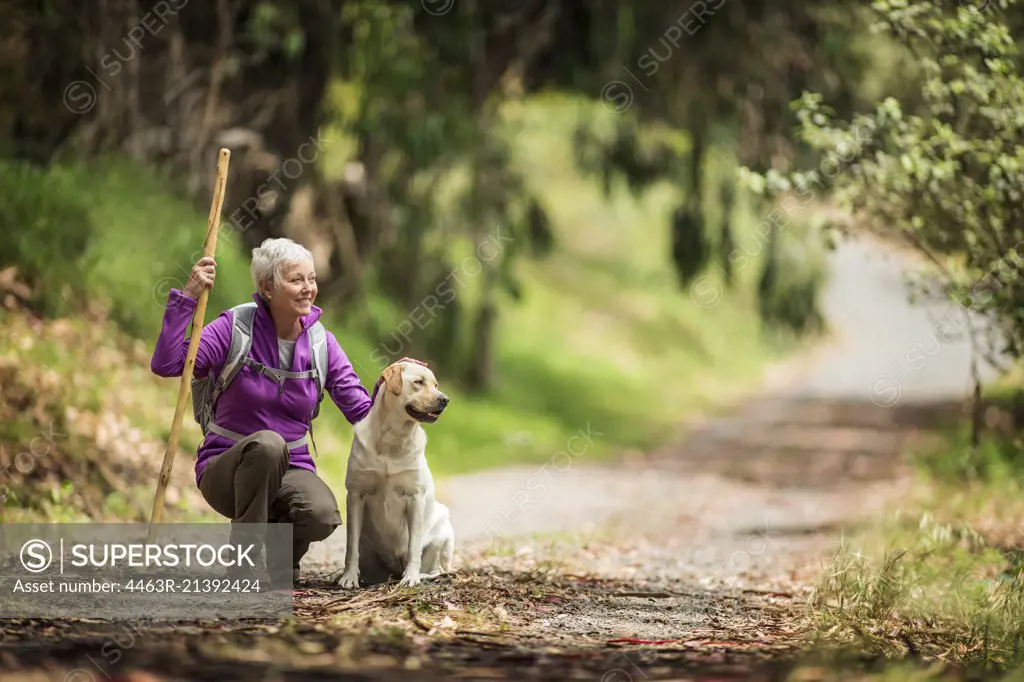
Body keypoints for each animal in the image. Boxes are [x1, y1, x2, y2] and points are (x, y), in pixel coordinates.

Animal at [333, 358, 454, 585]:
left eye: (436, 385)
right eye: (419, 382)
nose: (445, 399)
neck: (393, 437)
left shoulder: (415, 497)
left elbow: (414, 546)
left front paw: (411, 577)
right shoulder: (355, 495)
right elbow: (350, 547)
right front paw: (349, 577)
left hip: (442, 533)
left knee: (438, 568)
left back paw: (422, 575)